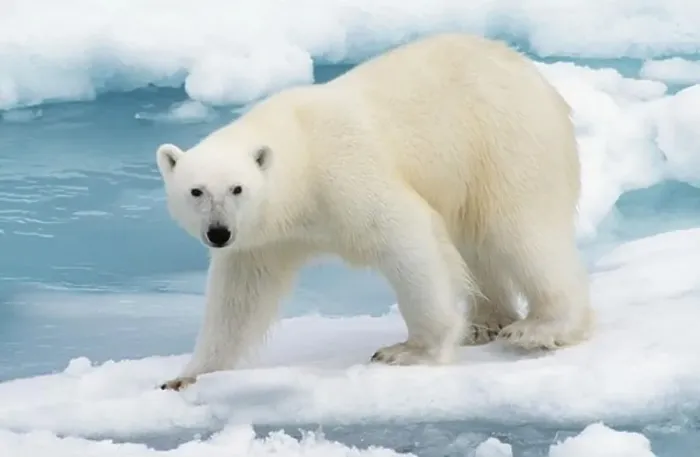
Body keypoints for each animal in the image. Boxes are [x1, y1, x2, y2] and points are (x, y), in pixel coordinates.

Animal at [155, 32, 594, 391]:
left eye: (237, 188)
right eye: (195, 191)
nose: (218, 233)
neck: (302, 158)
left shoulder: (345, 174)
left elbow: (408, 239)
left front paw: (409, 350)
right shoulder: (262, 239)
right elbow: (239, 298)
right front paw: (186, 375)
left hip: (505, 144)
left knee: (520, 232)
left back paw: (539, 328)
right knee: (478, 245)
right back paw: (486, 323)